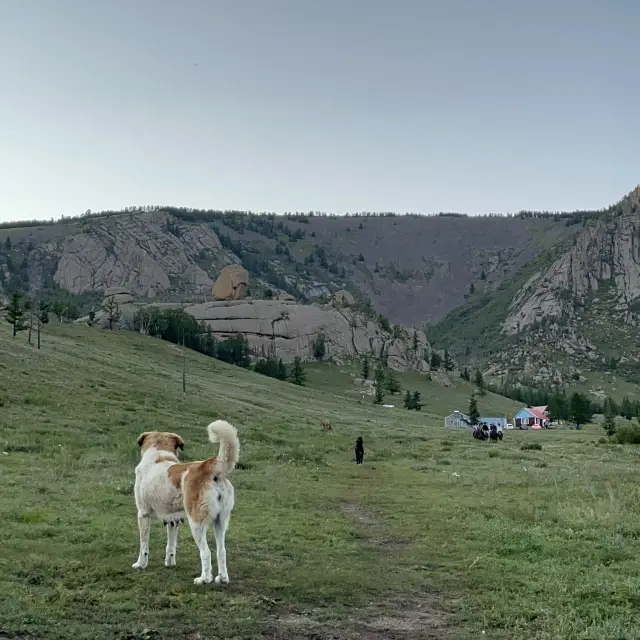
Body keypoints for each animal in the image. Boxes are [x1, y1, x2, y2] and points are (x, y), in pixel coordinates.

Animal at [132, 420, 240, 584]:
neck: (158, 454)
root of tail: (208, 466)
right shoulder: (172, 519)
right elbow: (171, 545)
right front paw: (169, 563)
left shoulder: (143, 515)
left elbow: (143, 545)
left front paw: (140, 565)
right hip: (220, 522)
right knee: (221, 551)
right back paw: (222, 578)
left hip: (196, 523)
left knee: (206, 552)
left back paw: (204, 579)